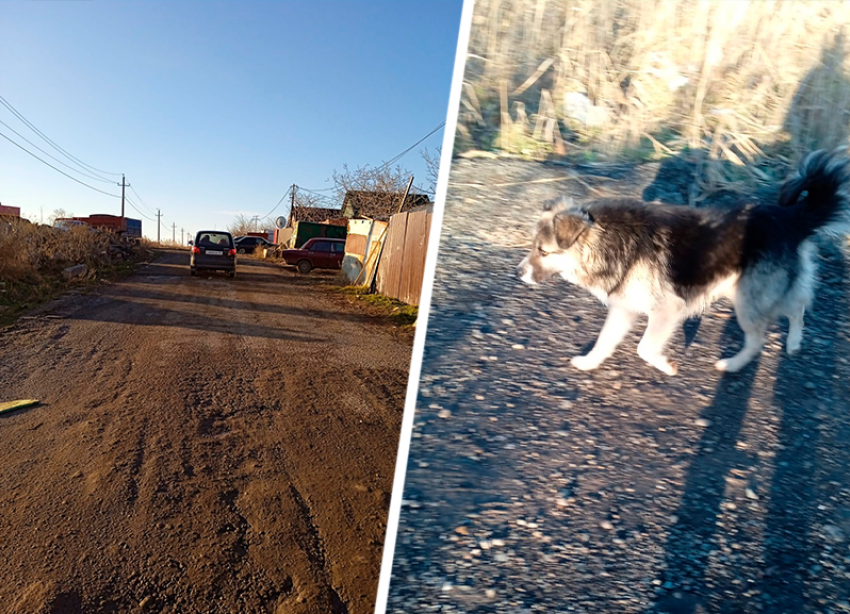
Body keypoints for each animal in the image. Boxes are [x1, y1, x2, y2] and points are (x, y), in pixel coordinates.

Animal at [512, 152, 848, 378]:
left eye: (543, 251)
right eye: (532, 246)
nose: (518, 272)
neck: (606, 240)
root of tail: (792, 217)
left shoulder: (666, 309)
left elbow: (644, 348)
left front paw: (666, 365)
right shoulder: (624, 309)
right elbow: (605, 341)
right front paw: (588, 362)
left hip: (748, 299)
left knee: (758, 339)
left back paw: (733, 364)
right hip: (760, 290)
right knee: (797, 307)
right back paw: (794, 342)